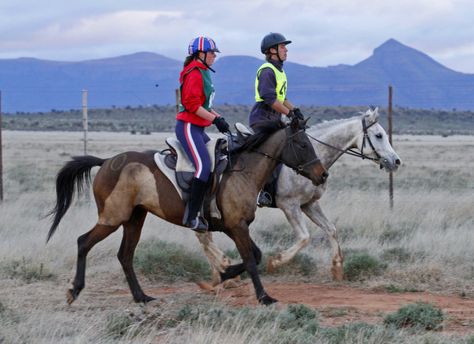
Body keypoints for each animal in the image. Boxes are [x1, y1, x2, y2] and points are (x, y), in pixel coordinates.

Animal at [49, 117, 330, 304]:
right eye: (302, 144)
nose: (322, 175)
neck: (244, 172)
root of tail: (107, 162)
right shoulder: (237, 226)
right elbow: (251, 260)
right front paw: (263, 296)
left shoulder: (234, 226)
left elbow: (257, 255)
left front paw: (224, 273)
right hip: (112, 218)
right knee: (84, 242)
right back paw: (75, 290)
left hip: (134, 220)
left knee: (125, 255)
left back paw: (142, 297)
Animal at [195, 108, 400, 284]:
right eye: (379, 135)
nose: (396, 161)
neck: (314, 155)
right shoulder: (290, 205)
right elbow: (304, 237)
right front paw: (276, 261)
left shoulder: (309, 204)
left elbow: (331, 229)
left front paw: (337, 267)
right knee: (204, 237)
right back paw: (224, 269)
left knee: (204, 236)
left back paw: (221, 271)